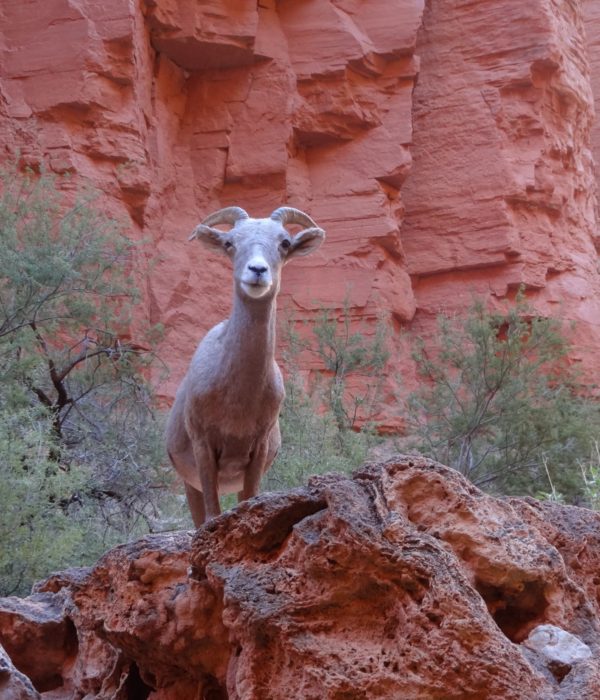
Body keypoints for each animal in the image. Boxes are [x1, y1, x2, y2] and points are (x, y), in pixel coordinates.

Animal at [165, 205, 324, 524]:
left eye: (284, 243)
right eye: (230, 243)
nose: (257, 271)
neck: (237, 400)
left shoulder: (257, 451)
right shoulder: (203, 448)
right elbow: (212, 515)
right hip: (190, 485)